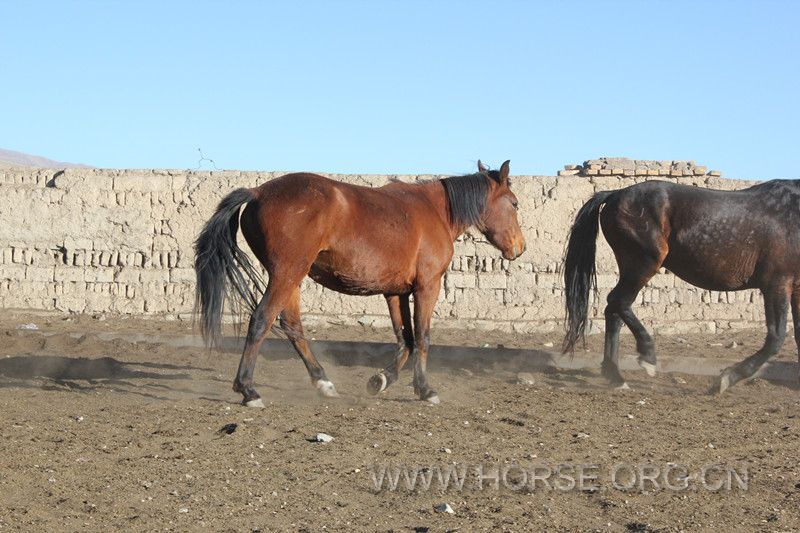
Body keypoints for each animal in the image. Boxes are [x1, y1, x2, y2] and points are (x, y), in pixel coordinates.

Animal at [195, 160, 524, 406]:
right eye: (514, 204)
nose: (520, 247)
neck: (434, 210)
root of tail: (257, 192)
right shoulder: (427, 287)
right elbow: (423, 337)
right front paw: (425, 389)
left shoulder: (395, 293)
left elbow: (405, 338)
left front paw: (381, 380)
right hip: (286, 275)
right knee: (261, 320)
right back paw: (248, 390)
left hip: (291, 279)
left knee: (292, 327)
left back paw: (323, 382)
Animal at [564, 179, 800, 390]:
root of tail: (615, 194)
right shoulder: (777, 282)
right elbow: (776, 338)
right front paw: (726, 379)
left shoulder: (795, 288)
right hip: (643, 263)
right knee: (618, 302)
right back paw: (647, 357)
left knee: (614, 311)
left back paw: (616, 376)